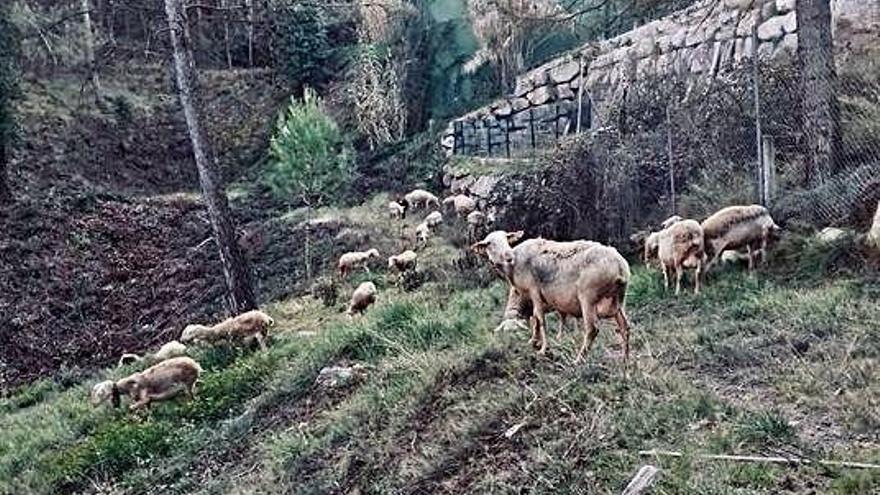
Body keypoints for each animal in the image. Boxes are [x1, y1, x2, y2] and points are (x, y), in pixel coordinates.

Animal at [474, 231, 632, 362]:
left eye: (506, 239)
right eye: (489, 244)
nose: (508, 257)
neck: (514, 264)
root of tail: (620, 266)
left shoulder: (534, 291)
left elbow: (540, 319)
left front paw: (543, 349)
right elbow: (535, 320)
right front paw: (534, 341)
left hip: (588, 298)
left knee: (592, 329)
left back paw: (579, 360)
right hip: (617, 302)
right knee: (625, 327)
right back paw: (625, 360)